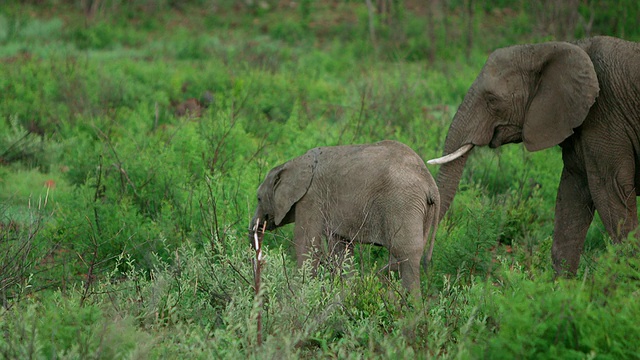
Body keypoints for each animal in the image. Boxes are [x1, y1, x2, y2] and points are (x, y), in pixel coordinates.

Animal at [250, 141, 440, 296]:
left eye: (258, 198)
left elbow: (307, 243)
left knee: (406, 254)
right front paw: (345, 294)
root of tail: (431, 184)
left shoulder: (310, 197)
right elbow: (341, 249)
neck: (294, 163)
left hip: (403, 203)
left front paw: (302, 294)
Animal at [428, 35, 640, 274]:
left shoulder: (606, 118)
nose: (427, 265)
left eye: (492, 100)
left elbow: (609, 190)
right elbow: (572, 193)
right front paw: (562, 285)